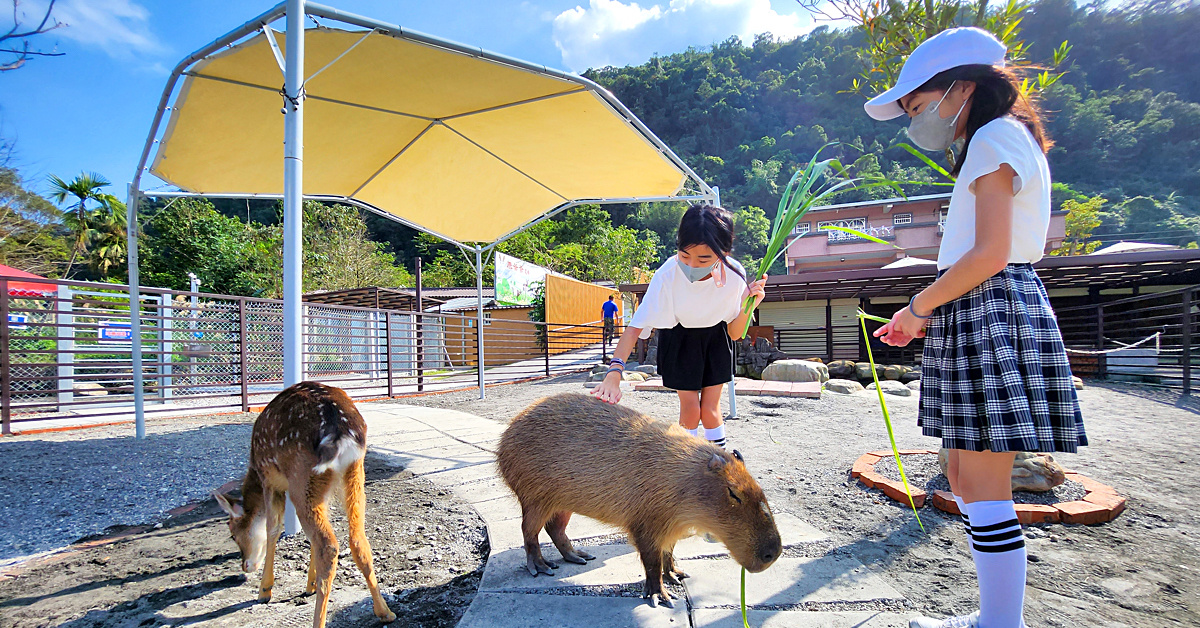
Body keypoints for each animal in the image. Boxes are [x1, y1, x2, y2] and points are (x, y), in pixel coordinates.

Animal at [216, 384, 398, 628]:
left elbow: (273, 529)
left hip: (302, 477)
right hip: (354, 473)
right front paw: (309, 584)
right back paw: (384, 611)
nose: (245, 566)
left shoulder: (270, 480)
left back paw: (317, 620)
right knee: (357, 538)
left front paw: (264, 590)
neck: (253, 469)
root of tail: (340, 433)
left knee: (328, 545)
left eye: (233, 535)